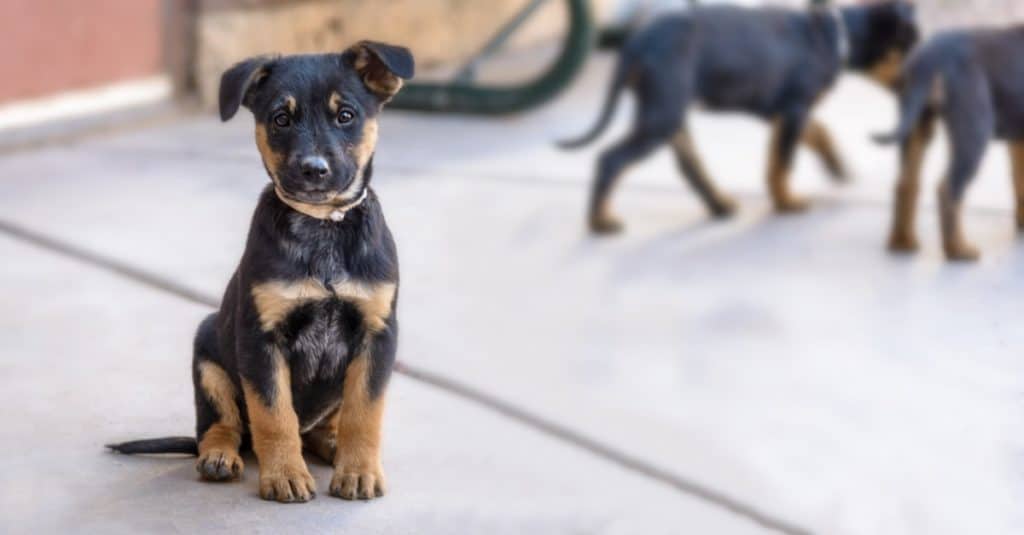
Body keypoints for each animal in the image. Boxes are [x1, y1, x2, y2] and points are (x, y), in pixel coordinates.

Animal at [108, 40, 415, 500]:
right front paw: (285, 474)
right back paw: (219, 458)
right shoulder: (261, 339)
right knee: (222, 426)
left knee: (322, 424)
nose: (313, 170)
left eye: (346, 115)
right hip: (209, 361)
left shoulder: (377, 334)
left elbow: (364, 412)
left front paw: (358, 471)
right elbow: (274, 414)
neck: (321, 226)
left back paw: (331, 444)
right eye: (280, 119)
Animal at [561, 1, 921, 233]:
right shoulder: (793, 109)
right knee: (610, 160)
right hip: (661, 117)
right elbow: (784, 162)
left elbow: (807, 140)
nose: (923, 84)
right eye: (907, 48)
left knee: (689, 165)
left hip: (668, 113)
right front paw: (788, 203)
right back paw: (600, 222)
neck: (838, 35)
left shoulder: (782, 112)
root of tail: (637, 41)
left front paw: (836, 167)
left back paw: (720, 205)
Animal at [876, 26, 1024, 259]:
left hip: (917, 126)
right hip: (974, 129)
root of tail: (929, 57)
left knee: (905, 184)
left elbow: (1019, 181)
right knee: (947, 189)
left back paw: (902, 243)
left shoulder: (1017, 141)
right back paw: (958, 250)